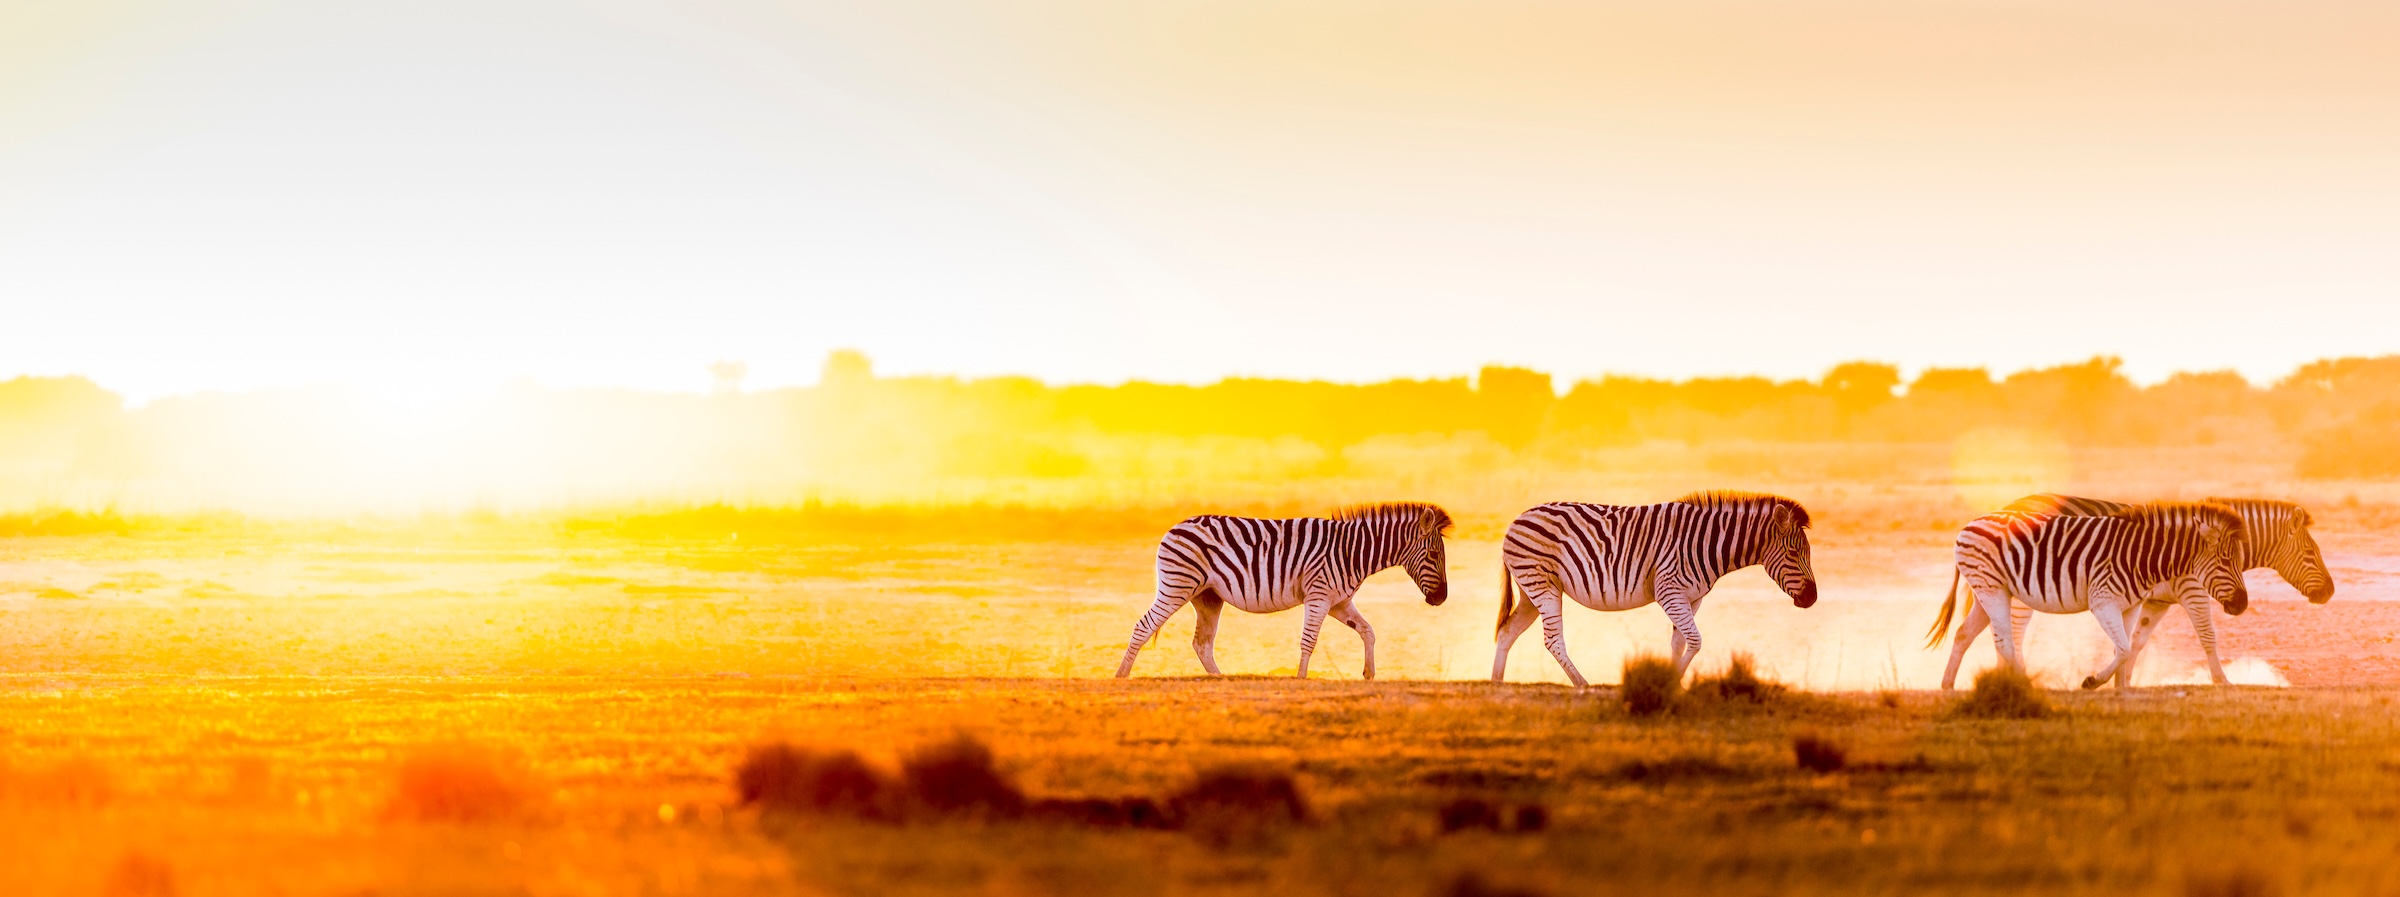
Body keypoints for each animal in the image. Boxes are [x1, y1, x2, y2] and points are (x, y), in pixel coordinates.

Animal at [1114, 502, 1452, 680]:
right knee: (1143, 626)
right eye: (1434, 555)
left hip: (1208, 597)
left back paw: (1221, 680)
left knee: (1202, 643)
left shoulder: (1339, 601)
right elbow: (1309, 640)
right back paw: (1121, 676)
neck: (1352, 551)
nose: (1441, 599)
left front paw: (1369, 674)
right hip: (1177, 586)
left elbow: (1368, 631)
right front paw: (1300, 680)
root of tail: (1173, 528)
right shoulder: (1320, 595)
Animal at [1494, 491, 1818, 687]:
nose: (1812, 598)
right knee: (1553, 640)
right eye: (1793, 554)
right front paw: (1672, 682)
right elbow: (1695, 641)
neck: (1707, 543)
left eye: (1807, 553)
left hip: (1532, 591)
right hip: (1542, 584)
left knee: (1507, 632)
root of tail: (1515, 521)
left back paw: (1495, 682)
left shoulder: (1691, 597)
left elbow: (1679, 642)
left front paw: (1670, 683)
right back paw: (1582, 684)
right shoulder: (1669, 591)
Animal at [1935, 494, 2333, 688]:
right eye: (2311, 553)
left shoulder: (2154, 600)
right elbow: (2206, 636)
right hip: (2012, 590)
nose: (2329, 593)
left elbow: (2134, 644)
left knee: (1966, 633)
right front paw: (2223, 681)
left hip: (1993, 590)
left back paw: (1951, 684)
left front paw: (2122, 684)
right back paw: (2019, 679)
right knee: (2009, 636)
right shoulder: (2191, 591)